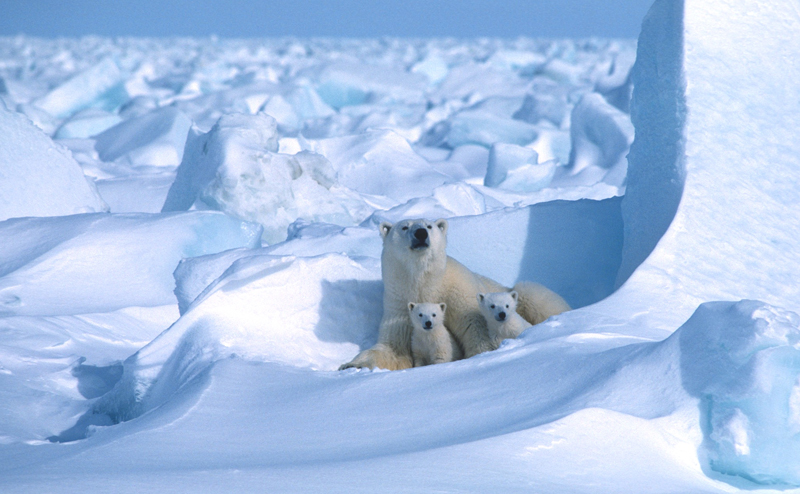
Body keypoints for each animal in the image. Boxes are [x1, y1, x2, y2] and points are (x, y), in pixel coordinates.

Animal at [338, 217, 568, 370]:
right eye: (404, 227)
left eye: (429, 225)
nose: (421, 233)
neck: (425, 285)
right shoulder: (400, 307)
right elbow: (393, 348)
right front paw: (351, 365)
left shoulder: (459, 294)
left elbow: (475, 328)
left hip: (517, 292)